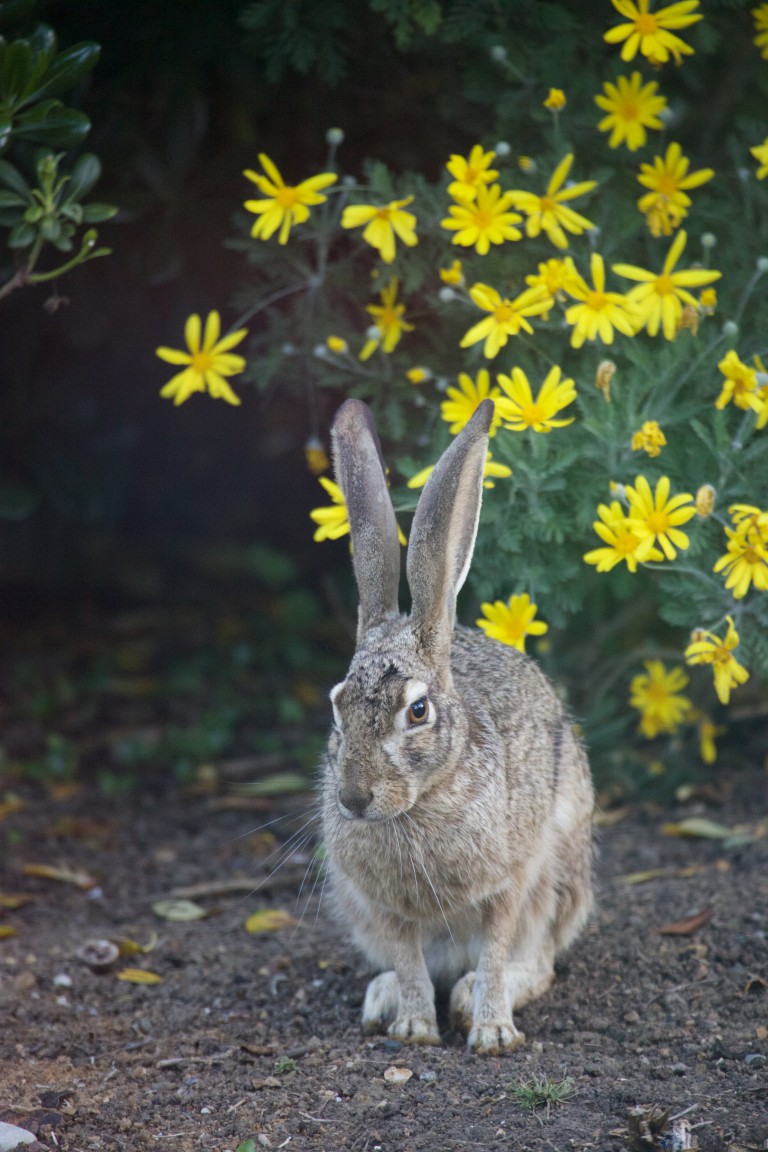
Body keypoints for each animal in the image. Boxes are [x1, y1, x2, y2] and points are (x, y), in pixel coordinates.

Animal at [320, 396, 594, 1055]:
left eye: (417, 711)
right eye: (337, 706)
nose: (354, 799)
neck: (420, 803)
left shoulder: (511, 883)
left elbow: (496, 951)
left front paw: (493, 1031)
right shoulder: (381, 905)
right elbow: (408, 959)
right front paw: (415, 1027)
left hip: (561, 870)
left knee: (538, 959)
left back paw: (470, 999)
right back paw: (384, 999)